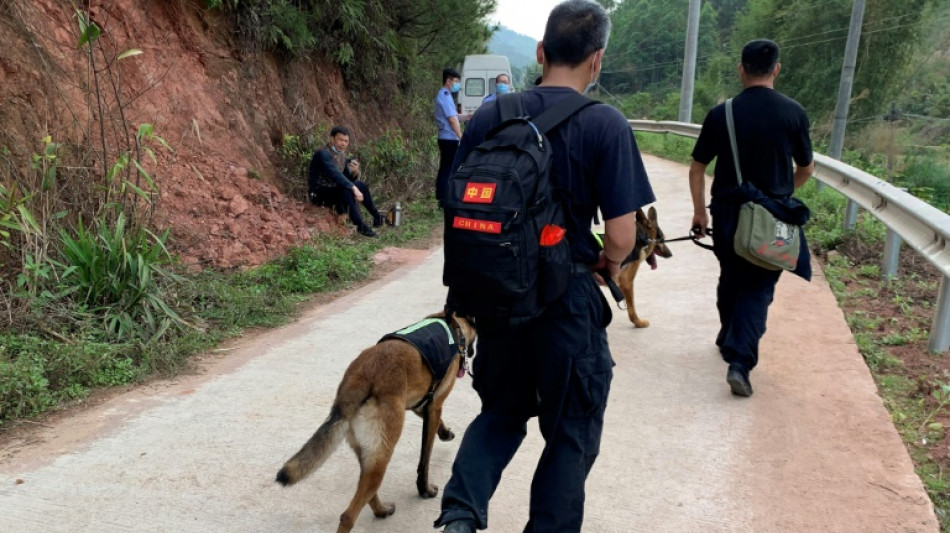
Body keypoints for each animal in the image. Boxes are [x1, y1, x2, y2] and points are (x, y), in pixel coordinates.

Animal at [278, 310, 480, 528]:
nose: (470, 356)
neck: (453, 325)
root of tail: (358, 377)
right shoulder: (434, 407)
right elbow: (424, 460)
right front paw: (424, 490)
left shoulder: (420, 404)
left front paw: (445, 432)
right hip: (383, 452)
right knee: (348, 515)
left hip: (370, 454)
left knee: (367, 492)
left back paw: (381, 510)